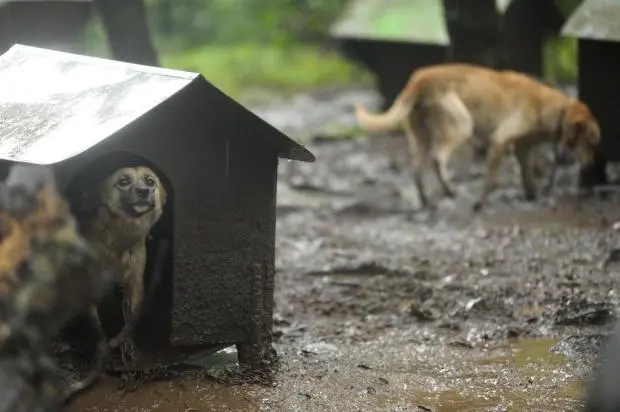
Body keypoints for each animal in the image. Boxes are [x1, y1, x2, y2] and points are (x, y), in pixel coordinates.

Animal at [59, 152, 173, 370]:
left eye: (150, 181)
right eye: (123, 182)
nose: (143, 191)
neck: (120, 239)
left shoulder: (134, 284)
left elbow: (130, 321)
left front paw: (129, 350)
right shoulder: (88, 288)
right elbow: (96, 327)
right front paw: (102, 351)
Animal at [354, 62, 600, 211]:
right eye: (590, 142)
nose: (591, 166)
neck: (556, 110)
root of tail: (420, 78)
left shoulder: (522, 147)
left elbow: (527, 174)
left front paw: (533, 195)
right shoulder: (501, 140)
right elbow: (490, 178)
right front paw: (479, 203)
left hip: (421, 139)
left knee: (416, 170)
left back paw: (427, 202)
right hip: (461, 125)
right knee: (437, 158)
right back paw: (449, 190)